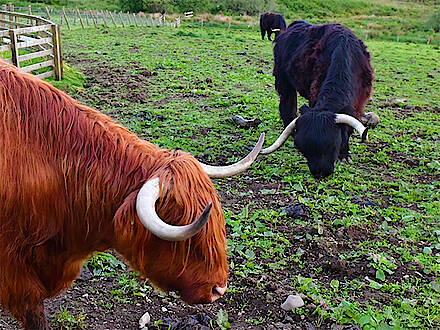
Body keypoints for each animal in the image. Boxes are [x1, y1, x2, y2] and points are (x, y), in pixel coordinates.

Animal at [260, 20, 380, 178]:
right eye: (302, 148)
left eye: (333, 144)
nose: (320, 173)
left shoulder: (359, 103)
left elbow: (348, 128)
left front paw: (344, 155)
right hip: (283, 81)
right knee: (287, 105)